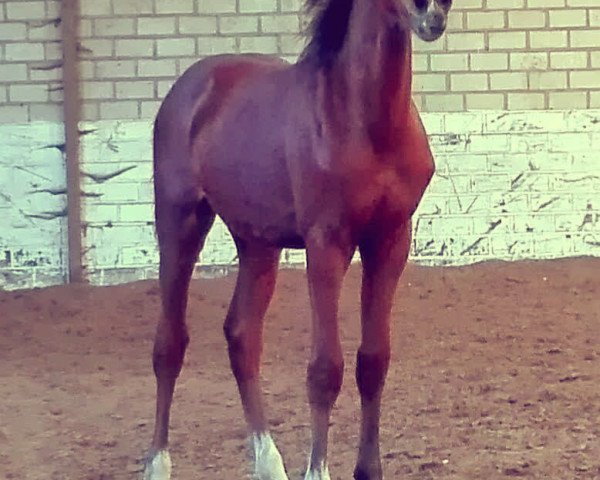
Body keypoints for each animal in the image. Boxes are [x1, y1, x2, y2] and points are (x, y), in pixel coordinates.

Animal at [144, 0, 450, 478]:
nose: (432, 13)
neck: (367, 123)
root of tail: (190, 86)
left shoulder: (390, 241)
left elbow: (373, 361)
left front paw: (368, 470)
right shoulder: (327, 244)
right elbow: (325, 370)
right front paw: (317, 469)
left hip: (257, 243)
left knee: (242, 336)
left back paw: (269, 463)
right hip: (180, 223)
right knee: (169, 345)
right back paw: (157, 464)